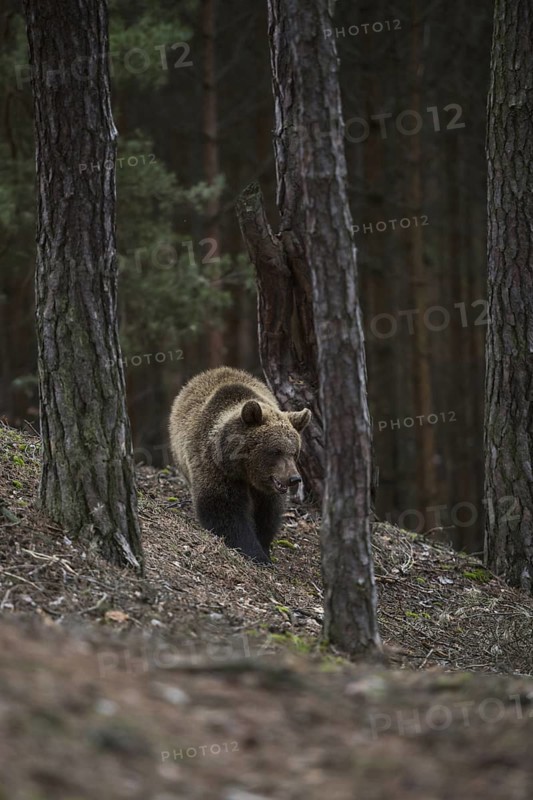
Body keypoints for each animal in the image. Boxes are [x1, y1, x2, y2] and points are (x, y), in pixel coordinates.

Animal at [168, 366, 311, 564]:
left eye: (294, 452)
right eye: (276, 451)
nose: (294, 478)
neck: (243, 470)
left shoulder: (267, 489)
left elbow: (267, 514)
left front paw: (264, 547)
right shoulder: (215, 468)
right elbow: (224, 509)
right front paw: (255, 553)